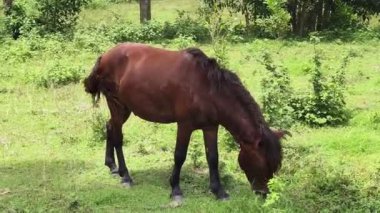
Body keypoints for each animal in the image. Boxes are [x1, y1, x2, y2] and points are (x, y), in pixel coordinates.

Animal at [83, 42, 284, 200]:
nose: (263, 193)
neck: (208, 89)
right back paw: (125, 176)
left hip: (125, 109)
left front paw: (218, 191)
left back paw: (112, 165)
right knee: (118, 136)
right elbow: (179, 155)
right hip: (117, 105)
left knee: (109, 127)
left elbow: (213, 157)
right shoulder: (185, 125)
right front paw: (176, 190)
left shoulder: (211, 127)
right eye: (264, 163)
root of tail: (104, 56)